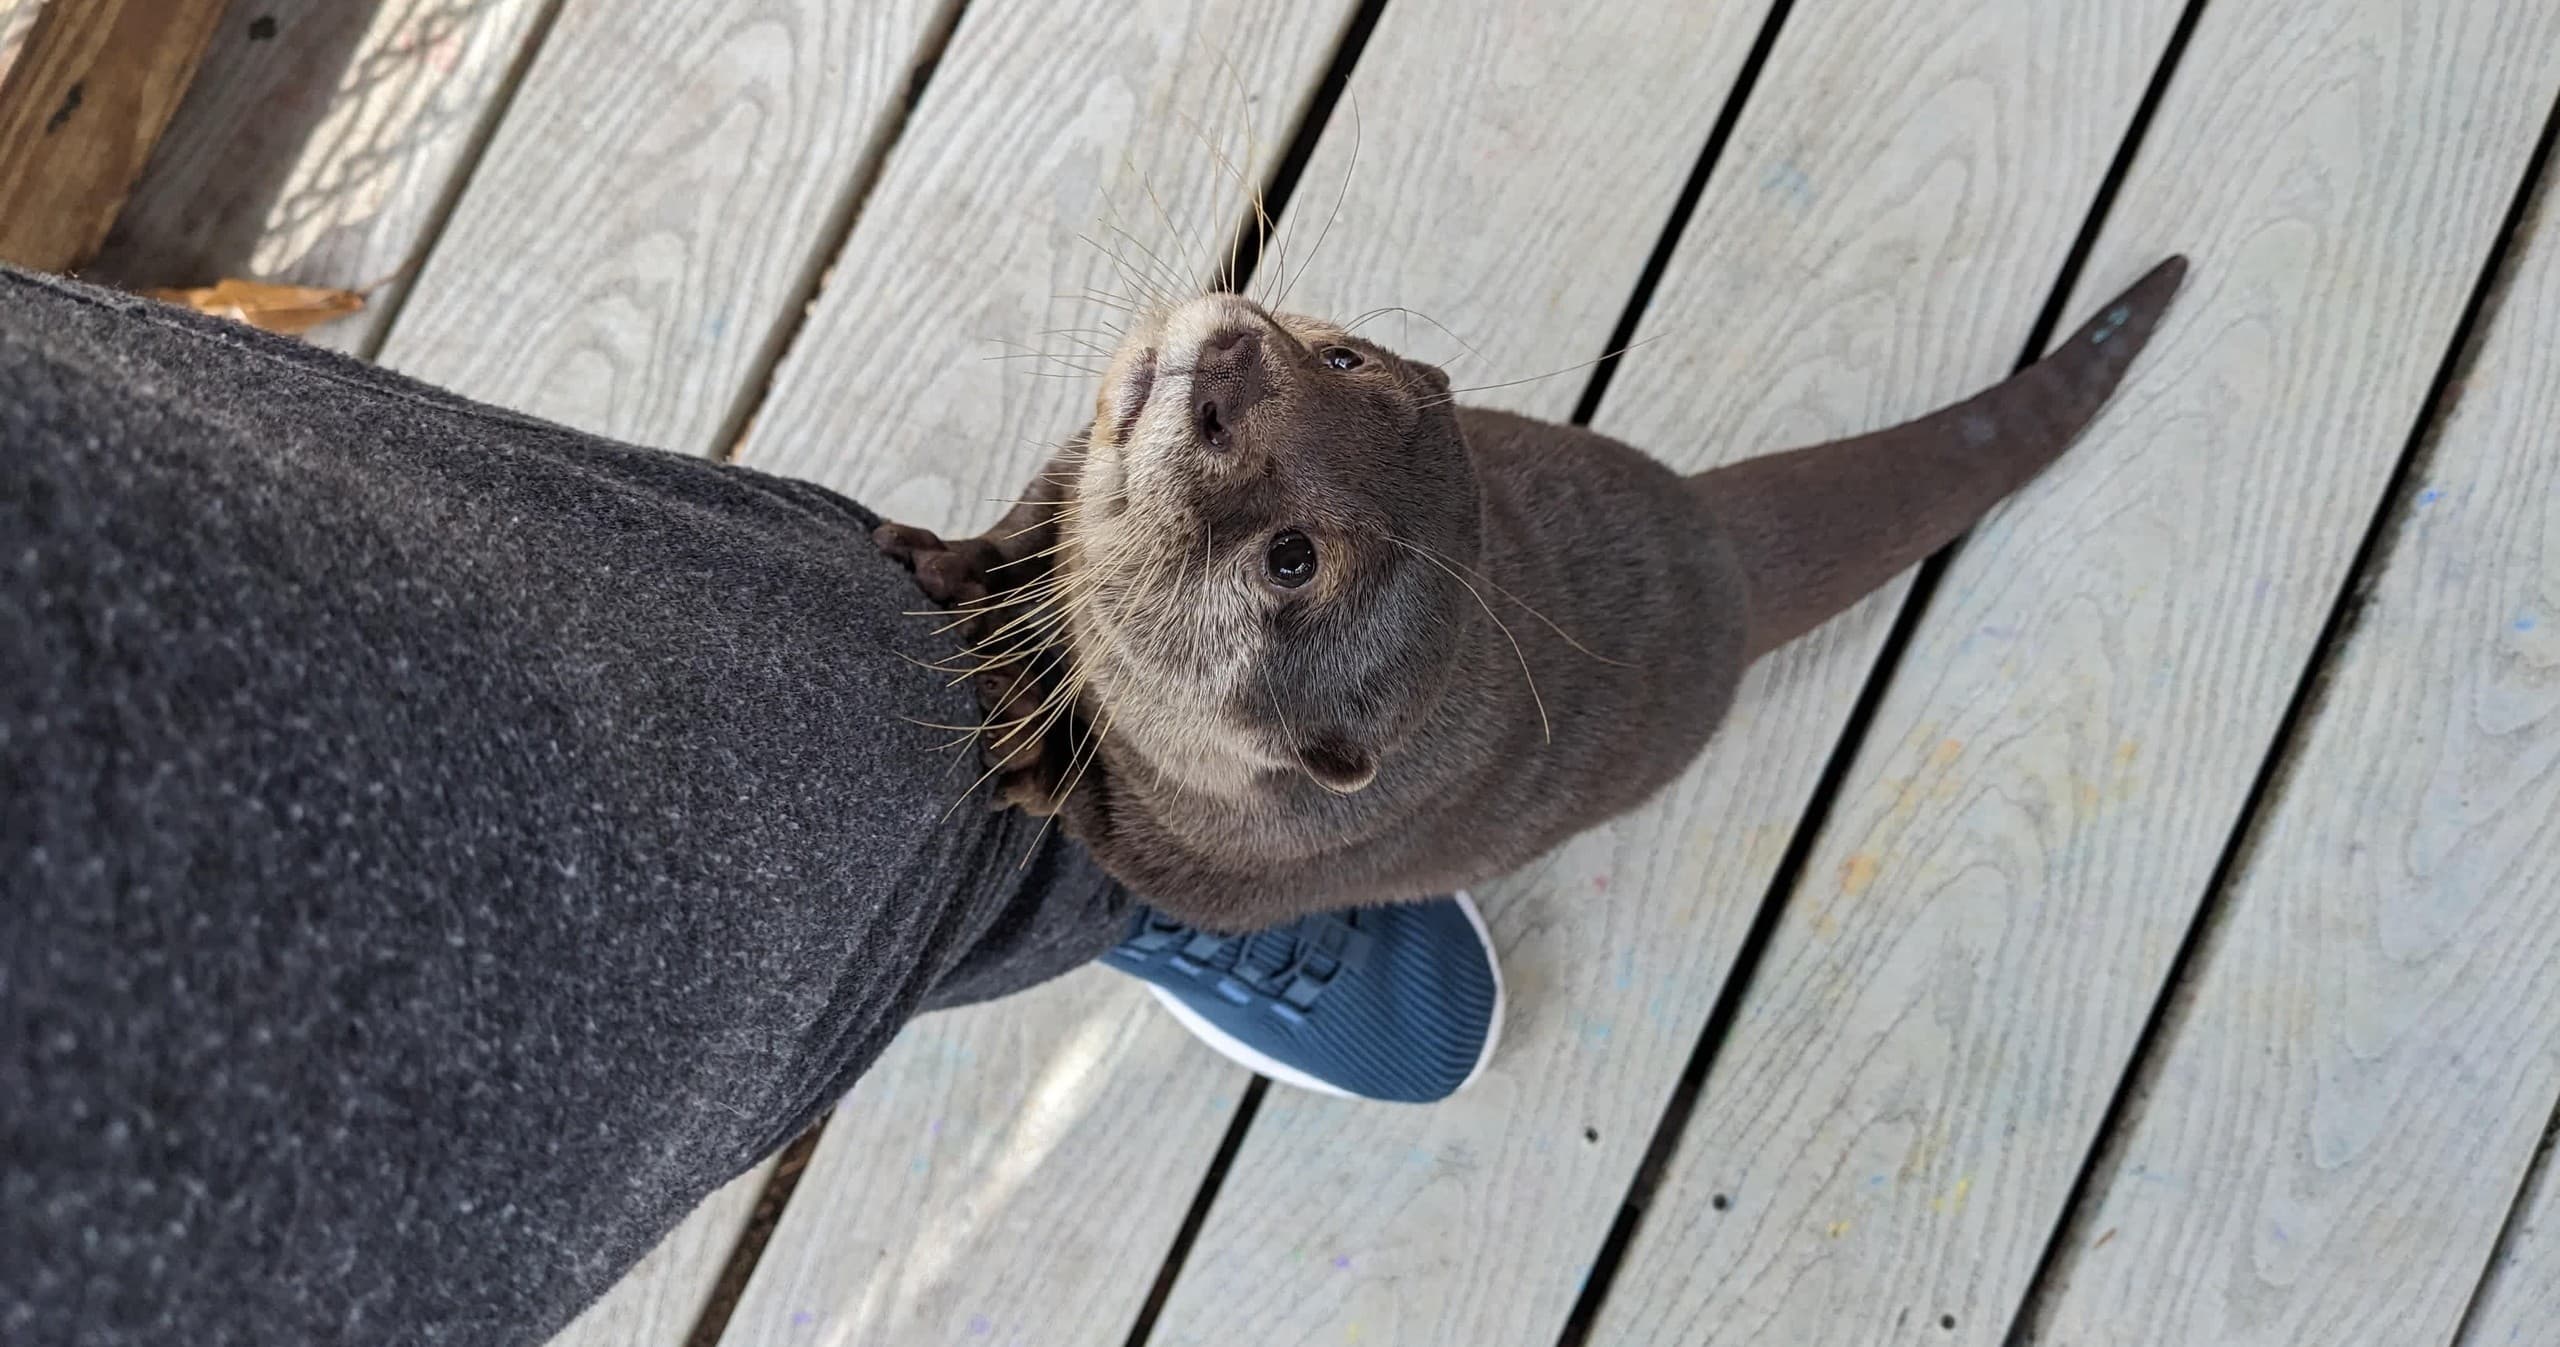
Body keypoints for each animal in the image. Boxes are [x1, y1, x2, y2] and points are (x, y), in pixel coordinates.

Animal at [877, 256, 2188, 932]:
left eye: (1292, 558)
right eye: (1341, 355)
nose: (1232, 358)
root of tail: (1719, 553)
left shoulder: (1204, 859)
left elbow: (1088, 814)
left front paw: (1025, 729)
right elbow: (1034, 514)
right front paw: (959, 560)